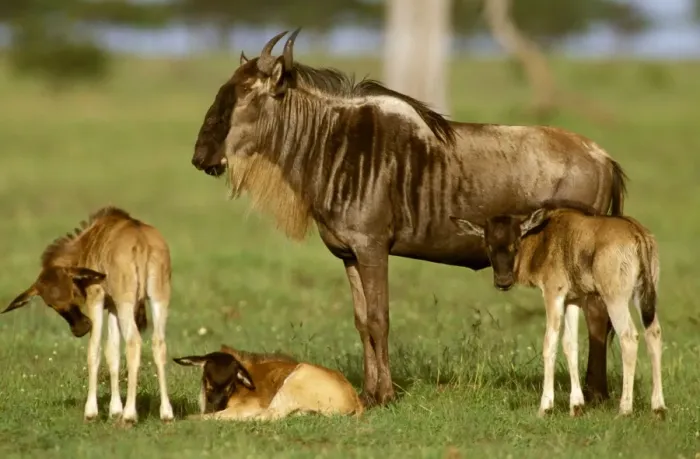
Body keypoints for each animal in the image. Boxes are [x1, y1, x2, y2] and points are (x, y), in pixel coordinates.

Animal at [2, 206, 174, 424]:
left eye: (73, 292)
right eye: (50, 303)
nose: (81, 328)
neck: (90, 240)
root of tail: (142, 242)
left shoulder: (97, 299)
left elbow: (94, 351)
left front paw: (92, 412)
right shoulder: (113, 306)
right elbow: (112, 351)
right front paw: (114, 410)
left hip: (126, 303)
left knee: (134, 342)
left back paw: (129, 415)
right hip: (158, 298)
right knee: (159, 344)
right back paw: (166, 413)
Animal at [173, 344, 363, 421]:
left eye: (230, 384)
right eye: (207, 378)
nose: (214, 405)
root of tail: (355, 401)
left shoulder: (252, 404)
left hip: (292, 384)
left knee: (269, 416)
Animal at [190, 28, 629, 406]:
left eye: (246, 95)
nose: (200, 157)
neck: (331, 144)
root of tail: (602, 156)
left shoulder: (373, 248)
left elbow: (380, 319)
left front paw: (385, 395)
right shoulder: (349, 254)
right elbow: (362, 321)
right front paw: (368, 394)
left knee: (597, 315)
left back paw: (596, 394)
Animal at [449, 203, 666, 418]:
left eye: (516, 244)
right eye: (488, 245)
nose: (503, 282)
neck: (545, 236)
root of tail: (637, 233)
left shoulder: (553, 293)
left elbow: (549, 344)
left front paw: (545, 407)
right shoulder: (573, 299)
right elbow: (570, 345)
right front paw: (576, 406)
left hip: (615, 298)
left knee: (628, 336)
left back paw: (625, 409)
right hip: (644, 295)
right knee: (653, 333)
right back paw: (658, 408)